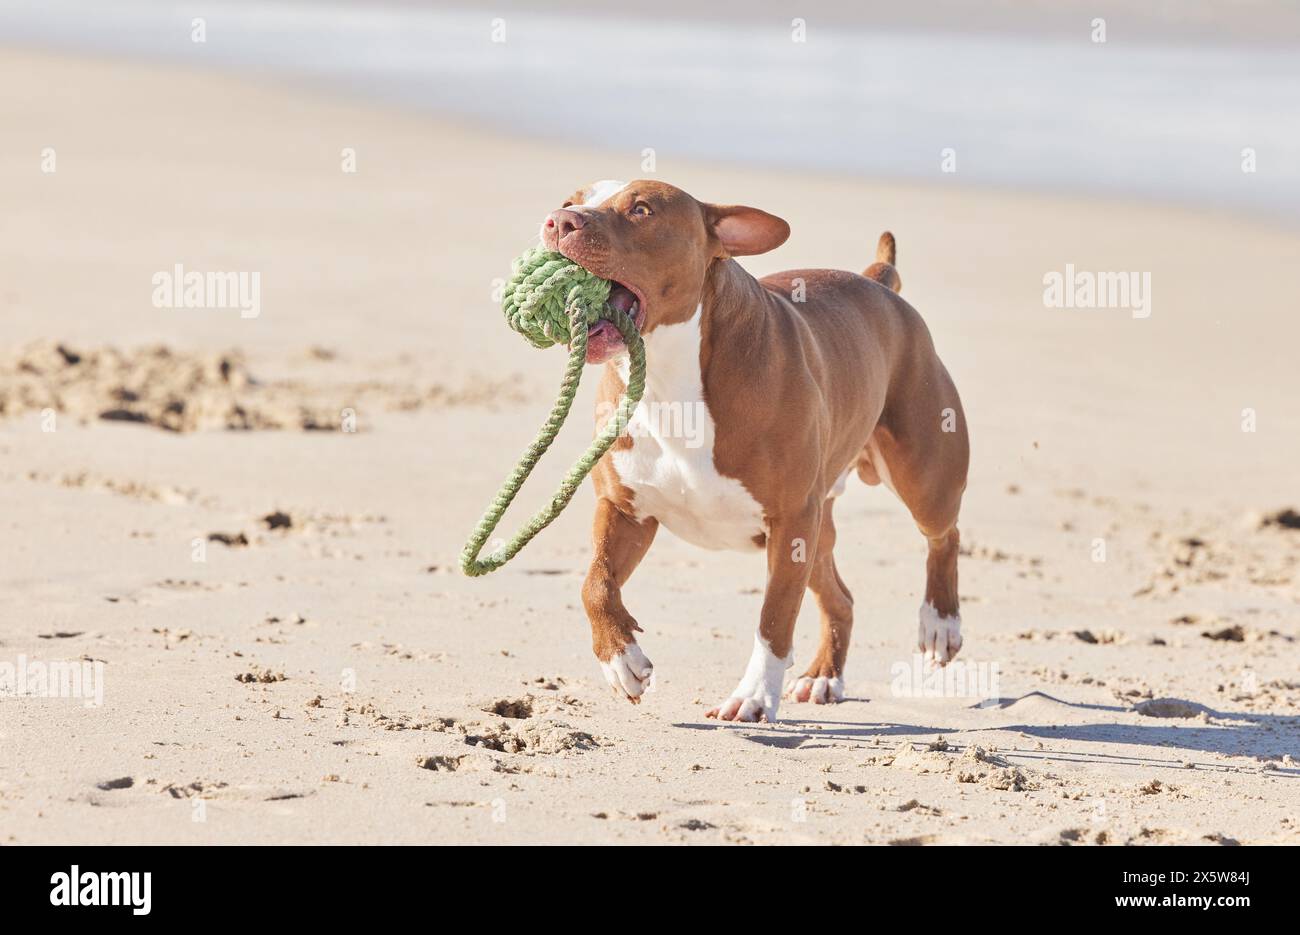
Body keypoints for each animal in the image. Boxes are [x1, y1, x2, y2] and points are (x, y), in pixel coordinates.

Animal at [533, 183, 972, 723]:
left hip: (922, 473)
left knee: (943, 534)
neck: (669, 375)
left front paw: (755, 696)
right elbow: (595, 582)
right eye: (571, 199)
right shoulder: (625, 511)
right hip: (819, 529)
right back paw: (824, 676)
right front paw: (621, 659)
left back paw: (940, 623)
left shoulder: (790, 523)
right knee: (841, 598)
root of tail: (879, 282)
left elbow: (774, 616)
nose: (560, 221)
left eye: (641, 209)